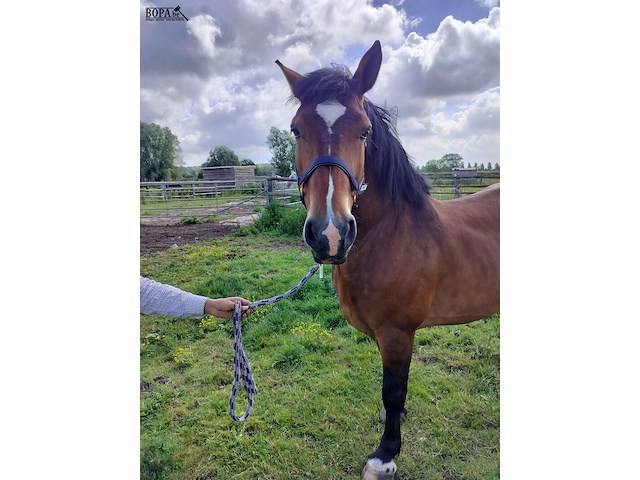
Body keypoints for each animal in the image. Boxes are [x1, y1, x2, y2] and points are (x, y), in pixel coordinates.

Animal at [276, 40, 499, 480]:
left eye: (363, 131)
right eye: (296, 129)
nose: (330, 233)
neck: (392, 234)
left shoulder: (398, 332)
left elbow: (393, 391)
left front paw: (385, 455)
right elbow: (390, 392)